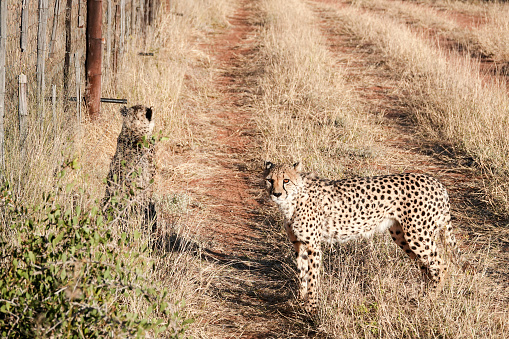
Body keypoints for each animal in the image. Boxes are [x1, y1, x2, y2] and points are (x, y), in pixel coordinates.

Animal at [264, 162, 458, 314]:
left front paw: (311, 307)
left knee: (440, 264)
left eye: (286, 180)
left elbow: (312, 277)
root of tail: (437, 182)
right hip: (401, 235)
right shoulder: (298, 244)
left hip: (417, 234)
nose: (276, 194)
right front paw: (299, 300)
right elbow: (302, 274)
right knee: (426, 267)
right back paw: (422, 295)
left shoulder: (313, 245)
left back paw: (430, 298)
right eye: (270, 180)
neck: (293, 200)